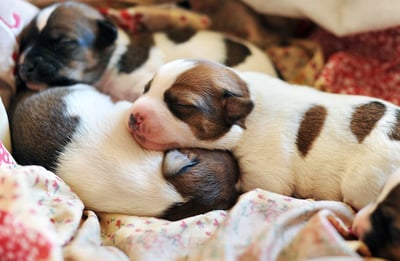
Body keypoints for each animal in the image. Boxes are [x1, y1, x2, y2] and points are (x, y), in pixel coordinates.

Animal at [126, 58, 400, 258]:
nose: (134, 116)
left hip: (362, 182)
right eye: (147, 88)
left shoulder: (264, 175)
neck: (245, 113)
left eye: (181, 105)